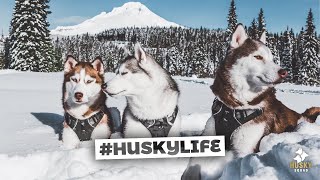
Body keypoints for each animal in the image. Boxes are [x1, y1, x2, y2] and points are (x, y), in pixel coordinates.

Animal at [181, 24, 318, 180]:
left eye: (272, 59)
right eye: (258, 57)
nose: (284, 72)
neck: (235, 107)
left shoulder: (244, 150)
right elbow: (192, 163)